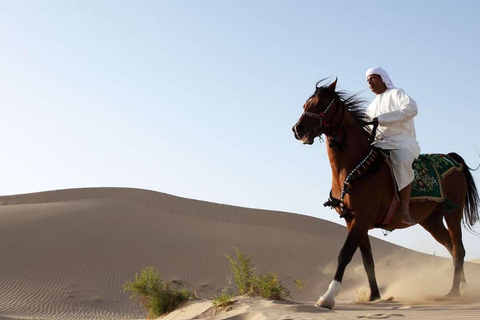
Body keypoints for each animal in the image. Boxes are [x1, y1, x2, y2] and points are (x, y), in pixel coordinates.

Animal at [290, 78, 478, 310]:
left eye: (321, 103)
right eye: (306, 103)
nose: (298, 129)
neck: (355, 167)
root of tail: (453, 160)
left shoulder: (362, 217)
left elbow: (345, 254)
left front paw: (328, 296)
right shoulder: (353, 220)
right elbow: (367, 260)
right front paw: (375, 296)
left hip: (453, 213)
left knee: (458, 249)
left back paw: (454, 292)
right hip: (431, 220)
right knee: (452, 248)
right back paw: (462, 286)